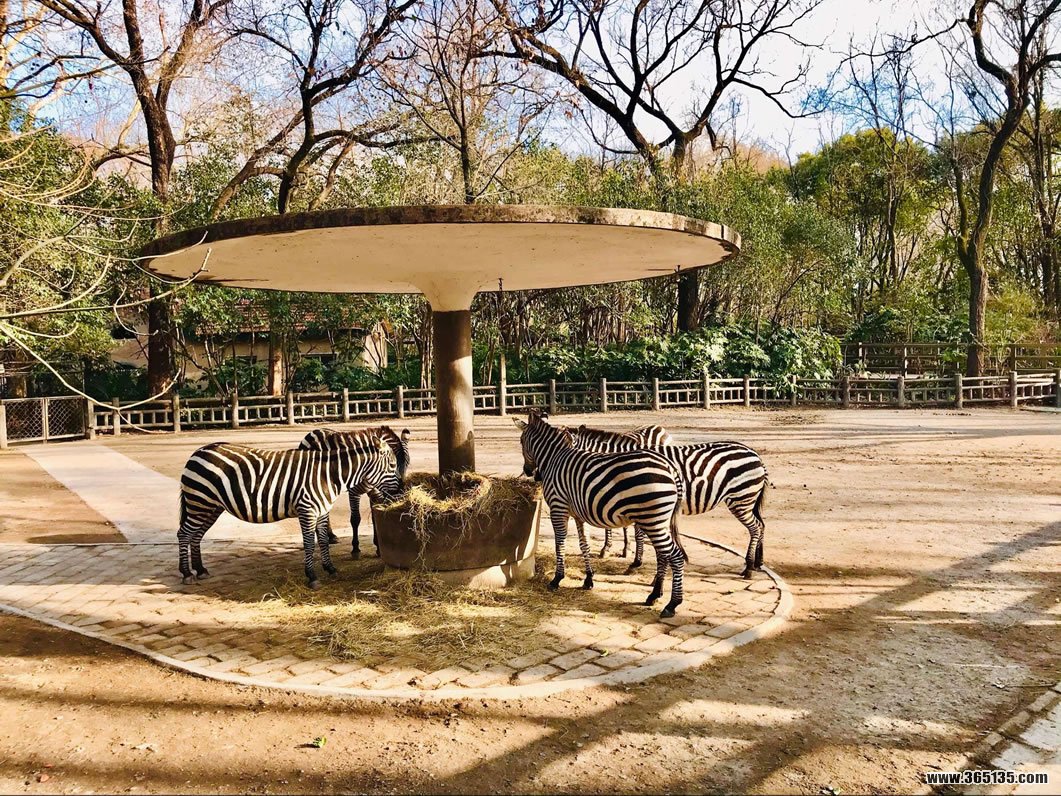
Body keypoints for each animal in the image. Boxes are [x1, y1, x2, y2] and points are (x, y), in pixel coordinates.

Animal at [178, 436, 402, 589]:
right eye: (392, 465)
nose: (400, 490)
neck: (328, 475)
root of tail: (198, 451)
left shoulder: (322, 511)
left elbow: (323, 540)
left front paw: (330, 568)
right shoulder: (307, 509)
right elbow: (309, 544)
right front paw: (312, 576)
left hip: (211, 506)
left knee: (196, 535)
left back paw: (200, 569)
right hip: (200, 501)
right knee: (184, 534)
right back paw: (187, 573)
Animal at [298, 426, 411, 559]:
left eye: (407, 464)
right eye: (393, 465)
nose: (399, 492)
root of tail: (316, 430)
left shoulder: (374, 491)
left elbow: (374, 518)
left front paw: (378, 547)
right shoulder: (354, 493)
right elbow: (355, 519)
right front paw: (355, 548)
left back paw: (331, 536)